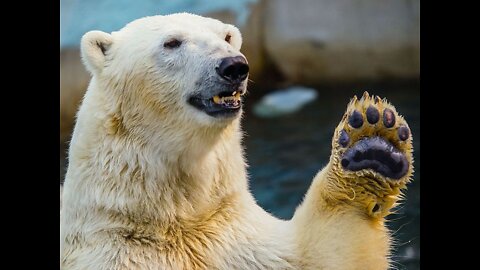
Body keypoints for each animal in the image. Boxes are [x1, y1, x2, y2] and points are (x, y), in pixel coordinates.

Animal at [59, 13, 412, 270]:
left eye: (225, 36)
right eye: (171, 42)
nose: (234, 65)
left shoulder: (232, 237)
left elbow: (322, 253)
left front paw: (373, 143)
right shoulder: (111, 253)